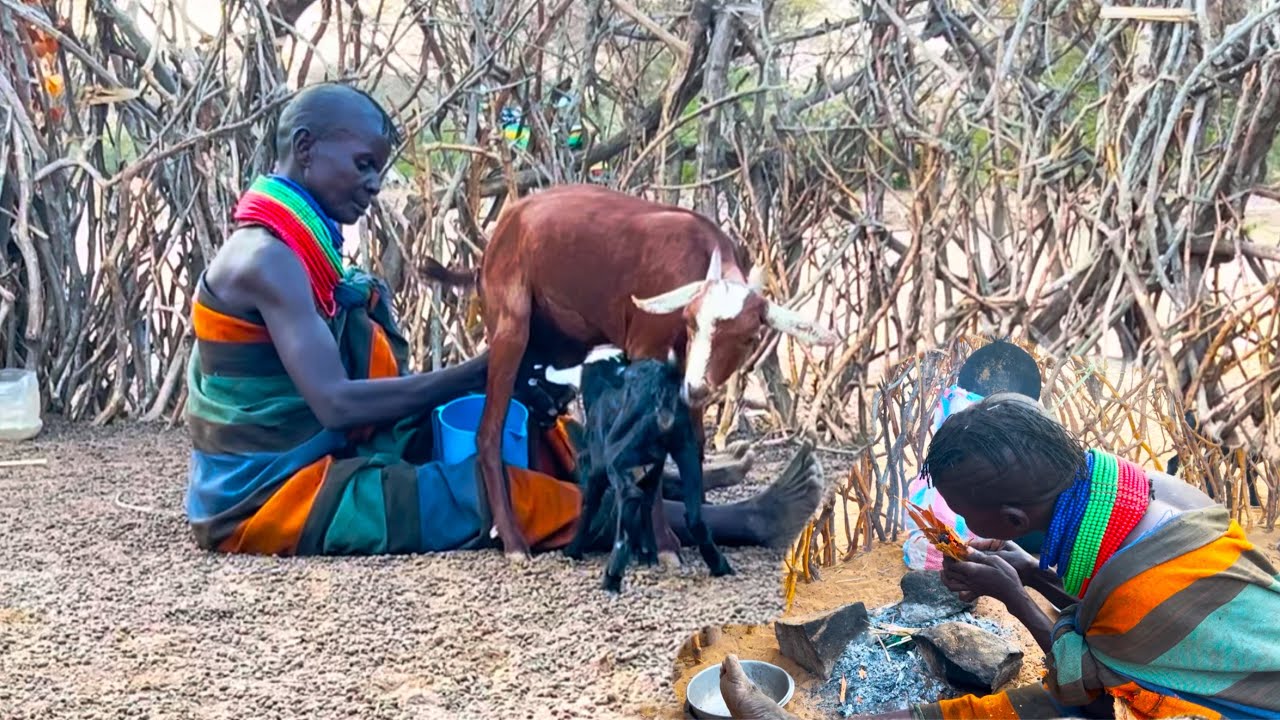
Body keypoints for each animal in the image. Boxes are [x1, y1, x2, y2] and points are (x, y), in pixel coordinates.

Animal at [426, 184, 840, 561]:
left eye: (751, 337)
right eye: (691, 321)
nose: (697, 388)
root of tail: (498, 235)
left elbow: (694, 443)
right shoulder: (646, 349)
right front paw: (665, 546)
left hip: (556, 339)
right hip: (511, 325)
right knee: (488, 431)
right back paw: (513, 542)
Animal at [562, 348, 731, 592]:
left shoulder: (597, 473)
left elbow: (590, 507)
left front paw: (573, 550)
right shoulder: (654, 472)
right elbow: (647, 507)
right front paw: (648, 554)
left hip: (616, 457)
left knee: (629, 498)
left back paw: (612, 575)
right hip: (687, 455)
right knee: (693, 517)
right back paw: (719, 564)